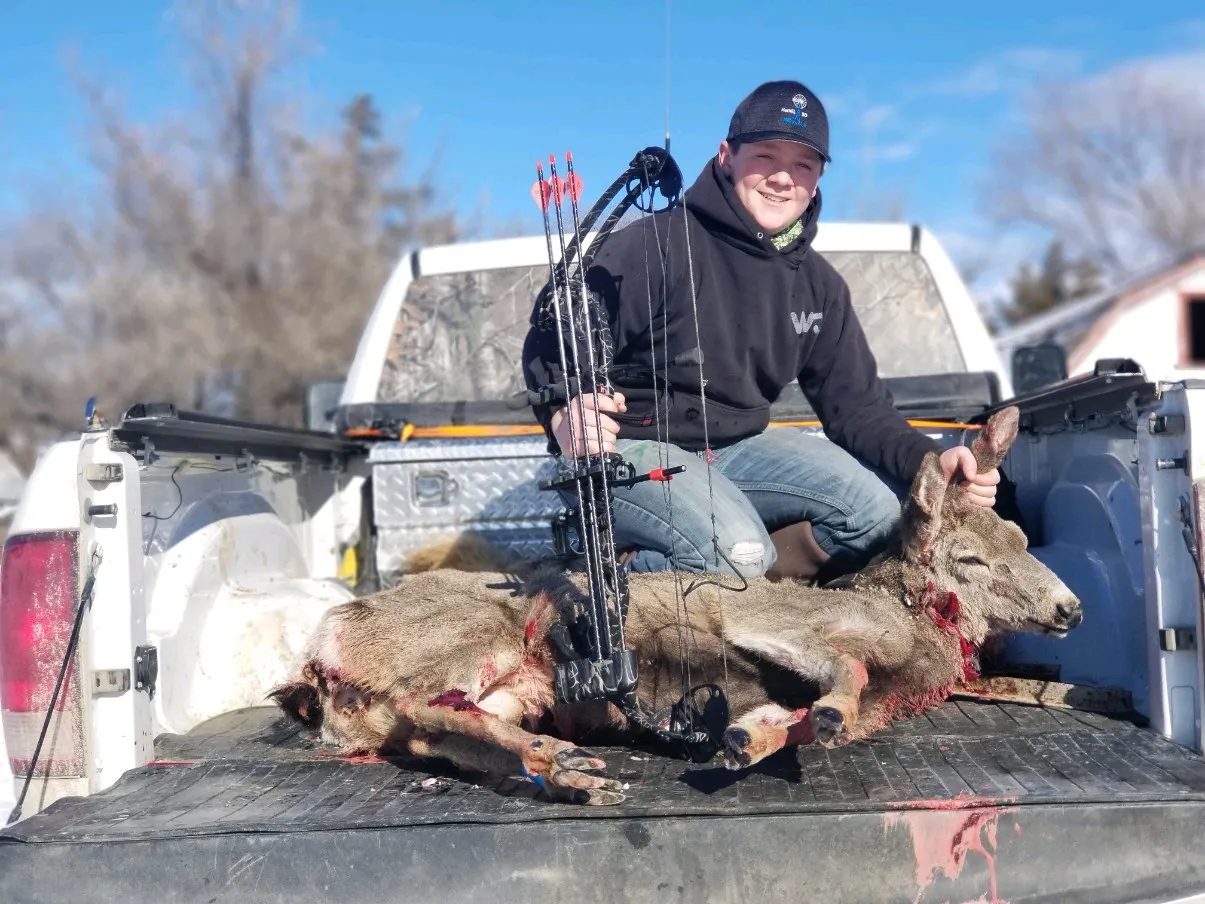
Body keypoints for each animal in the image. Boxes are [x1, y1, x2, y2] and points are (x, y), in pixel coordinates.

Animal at [270, 405, 1083, 805]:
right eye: (970, 559)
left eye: (1020, 534)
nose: (1071, 608)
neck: (913, 629)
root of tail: (320, 657)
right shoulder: (783, 623)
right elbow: (843, 676)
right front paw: (812, 716)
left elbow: (805, 719)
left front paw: (755, 735)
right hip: (471, 637)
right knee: (425, 704)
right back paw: (562, 762)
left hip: (507, 691)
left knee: (429, 733)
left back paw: (561, 767)